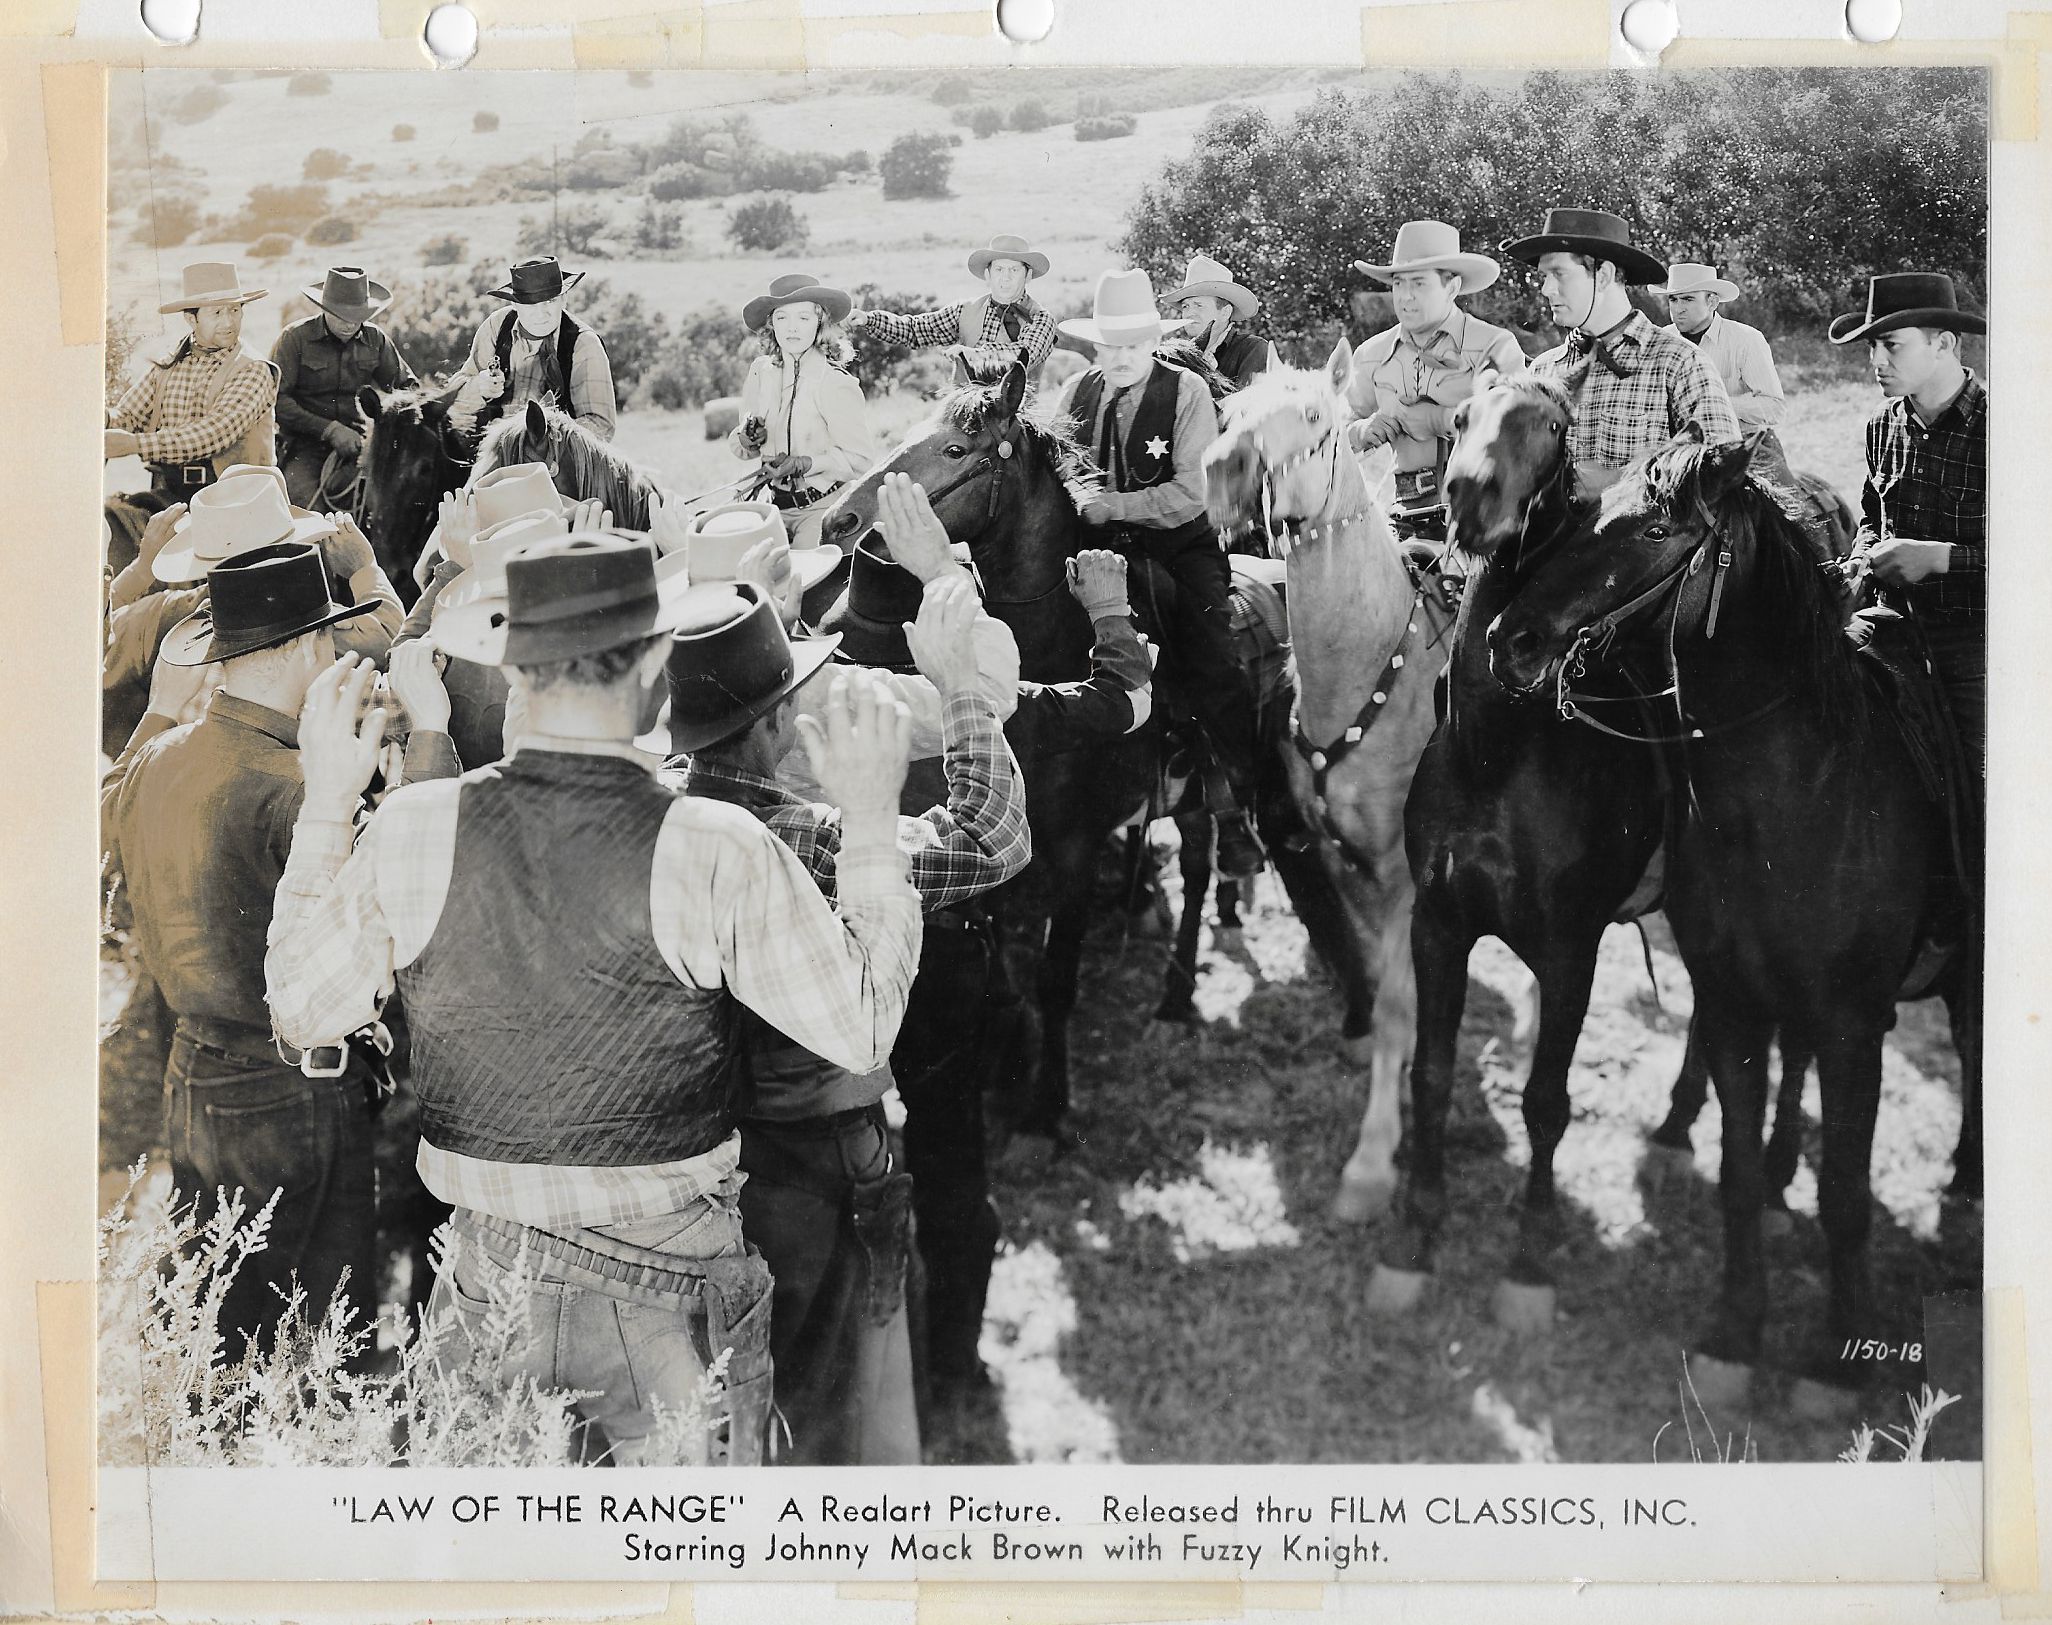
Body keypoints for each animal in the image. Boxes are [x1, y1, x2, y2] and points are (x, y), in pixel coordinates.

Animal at [1198, 346, 1461, 1231]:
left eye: (1314, 417)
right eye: (1230, 411)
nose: (1225, 470)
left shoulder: (1404, 877)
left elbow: (1396, 1002)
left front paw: (1373, 1163)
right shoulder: (1344, 864)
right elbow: (1382, 989)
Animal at [1485, 434, 1978, 1411]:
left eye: (1658, 527)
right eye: (1586, 512)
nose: (1512, 638)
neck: (1797, 794)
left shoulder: (1852, 1024)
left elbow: (1847, 1192)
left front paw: (1838, 1355)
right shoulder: (1733, 1003)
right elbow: (1738, 1173)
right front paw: (1733, 1333)